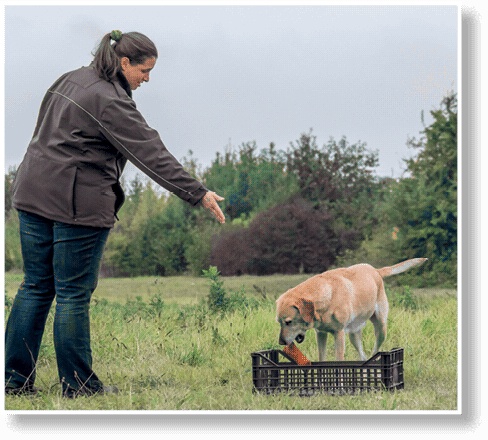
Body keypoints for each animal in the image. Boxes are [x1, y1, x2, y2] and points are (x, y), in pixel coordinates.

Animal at [276, 258, 428, 360]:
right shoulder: (321, 334)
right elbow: (322, 358)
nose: (281, 342)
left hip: (381, 327)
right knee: (362, 355)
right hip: (353, 334)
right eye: (279, 322)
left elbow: (338, 360)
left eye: (288, 322)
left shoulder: (339, 334)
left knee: (375, 350)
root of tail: (375, 270)